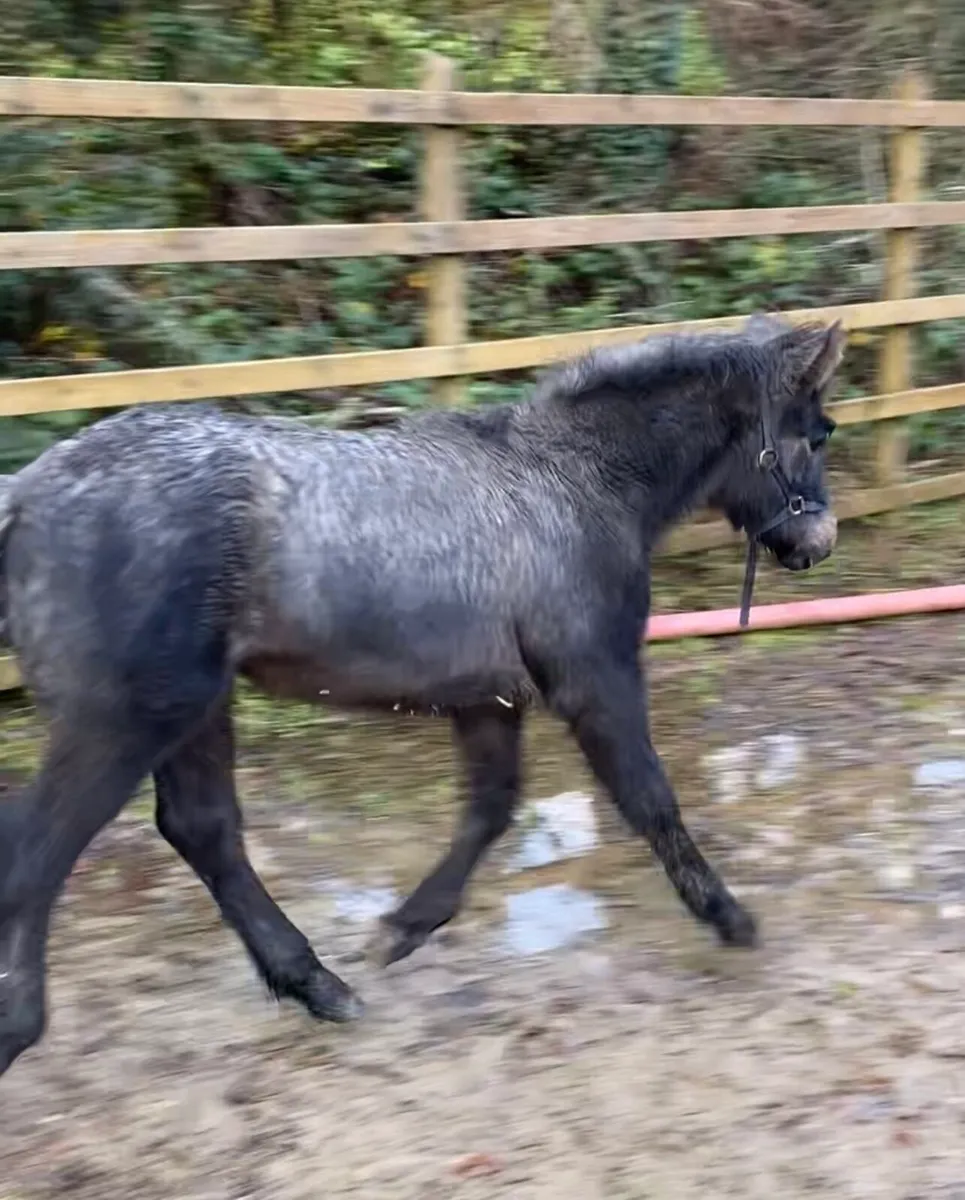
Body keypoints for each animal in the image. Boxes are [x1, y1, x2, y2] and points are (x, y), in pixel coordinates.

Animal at [0, 311, 844, 1077]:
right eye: (816, 434)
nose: (816, 542)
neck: (572, 483)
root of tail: (25, 496)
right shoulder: (593, 675)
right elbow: (648, 798)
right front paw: (728, 917)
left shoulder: (488, 697)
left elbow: (490, 809)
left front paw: (404, 928)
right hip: (126, 720)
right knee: (38, 859)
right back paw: (23, 1029)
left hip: (197, 710)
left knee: (202, 831)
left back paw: (318, 985)